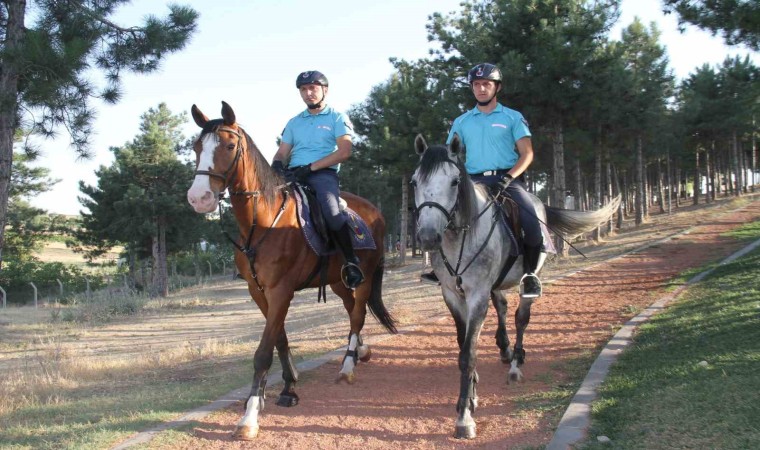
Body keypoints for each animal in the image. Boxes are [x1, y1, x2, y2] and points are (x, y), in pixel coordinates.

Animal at [186, 101, 398, 440]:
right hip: (338, 282)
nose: (199, 198)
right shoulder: (259, 292)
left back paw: (348, 367)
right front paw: (287, 388)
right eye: (196, 147)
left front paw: (250, 416)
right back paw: (361, 352)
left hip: (363, 277)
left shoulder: (281, 291)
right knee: (352, 308)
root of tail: (375, 211)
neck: (264, 221)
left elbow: (263, 351)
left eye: (229, 146)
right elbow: (280, 340)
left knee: (357, 315)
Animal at [412, 134, 620, 440]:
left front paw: (464, 416)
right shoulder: (451, 295)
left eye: (454, 181)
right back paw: (504, 348)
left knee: (521, 317)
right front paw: (472, 394)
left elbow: (468, 354)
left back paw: (515, 364)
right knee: (502, 306)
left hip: (529, 278)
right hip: (494, 285)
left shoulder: (477, 295)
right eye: (415, 182)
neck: (460, 238)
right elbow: (464, 344)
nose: (428, 237)